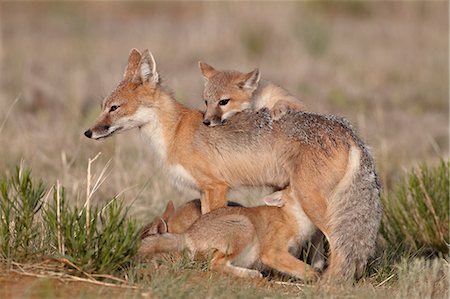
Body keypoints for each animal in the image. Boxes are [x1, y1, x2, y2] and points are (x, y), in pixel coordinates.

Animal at [84, 49, 380, 284]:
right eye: (103, 107)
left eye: (114, 108)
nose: (88, 132)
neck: (176, 131)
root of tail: (347, 130)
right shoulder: (203, 191)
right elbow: (201, 226)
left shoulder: (216, 187)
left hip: (314, 202)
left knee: (339, 243)